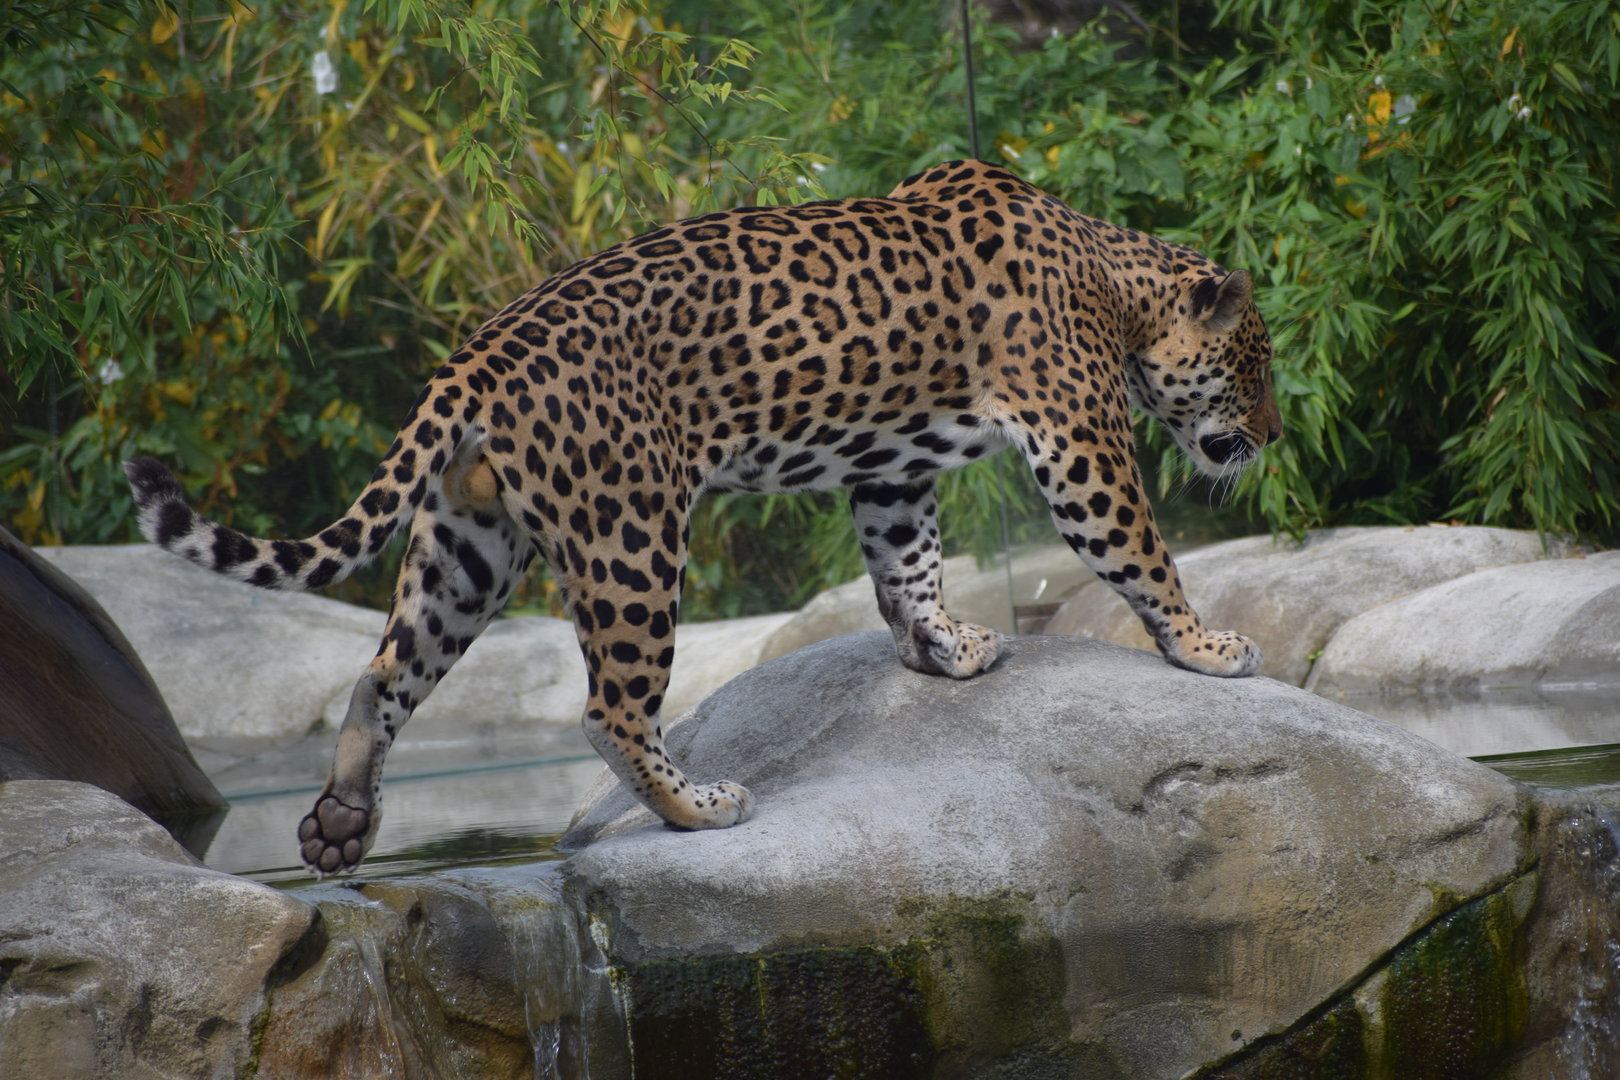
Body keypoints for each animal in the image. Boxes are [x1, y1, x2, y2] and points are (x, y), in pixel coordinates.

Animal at [125, 160, 1282, 875]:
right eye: (1253, 367)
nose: (1271, 433)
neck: (1114, 285)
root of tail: (476, 357)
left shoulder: (894, 468)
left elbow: (907, 563)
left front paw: (944, 649)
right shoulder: (1079, 440)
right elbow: (1139, 550)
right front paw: (1207, 646)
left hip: (470, 546)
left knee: (381, 675)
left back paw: (339, 824)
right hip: (632, 536)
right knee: (609, 710)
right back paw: (703, 806)